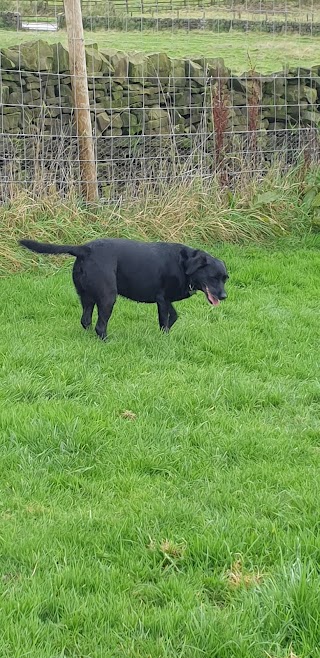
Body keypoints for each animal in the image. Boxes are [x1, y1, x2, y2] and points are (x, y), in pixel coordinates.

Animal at [19, 236, 228, 338]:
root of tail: (84, 249)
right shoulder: (162, 299)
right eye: (213, 277)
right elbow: (167, 320)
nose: (224, 296)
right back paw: (107, 341)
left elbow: (173, 316)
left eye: (225, 278)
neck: (183, 265)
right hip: (108, 296)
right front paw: (164, 337)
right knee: (100, 326)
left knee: (86, 320)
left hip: (86, 296)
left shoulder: (164, 300)